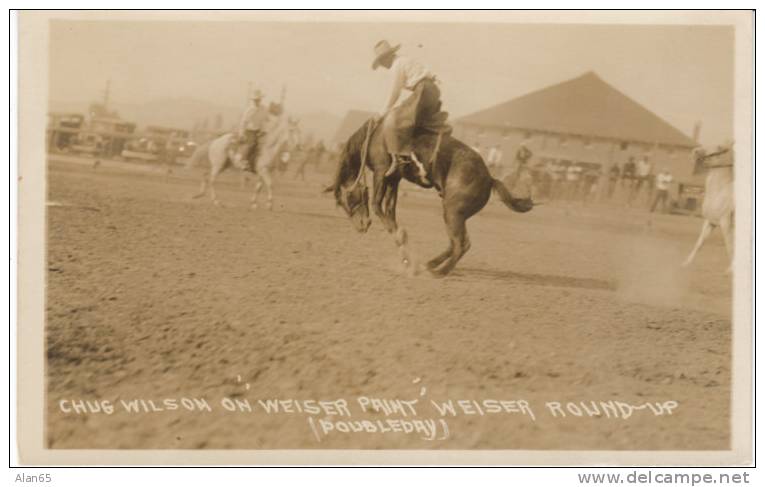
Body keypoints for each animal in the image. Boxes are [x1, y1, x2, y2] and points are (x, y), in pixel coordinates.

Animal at [326, 118, 536, 276]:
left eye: (349, 201)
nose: (360, 227)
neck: (374, 137)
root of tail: (490, 178)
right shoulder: (394, 178)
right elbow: (390, 211)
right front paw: (403, 250)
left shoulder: (381, 172)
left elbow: (378, 206)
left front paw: (402, 244)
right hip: (455, 215)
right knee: (455, 243)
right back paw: (430, 264)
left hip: (452, 212)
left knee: (461, 244)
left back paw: (439, 272)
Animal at [680, 141, 736, 272]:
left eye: (717, 149)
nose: (695, 151)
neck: (719, 191)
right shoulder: (710, 222)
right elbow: (699, 244)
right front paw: (686, 264)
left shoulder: (725, 224)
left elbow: (730, 247)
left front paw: (730, 270)